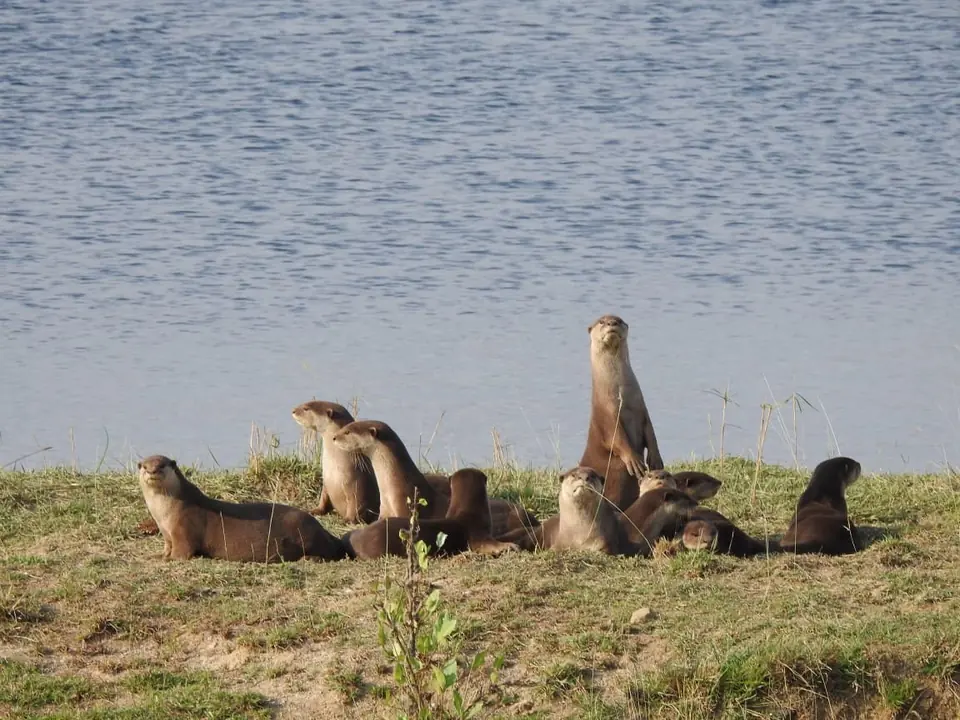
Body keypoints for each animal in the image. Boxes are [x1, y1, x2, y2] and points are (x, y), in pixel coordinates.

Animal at [137, 455, 346, 562]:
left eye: (162, 465)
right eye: (145, 466)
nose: (152, 471)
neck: (165, 514)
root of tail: (324, 530)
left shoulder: (185, 527)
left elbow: (183, 552)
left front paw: (166, 559)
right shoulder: (167, 533)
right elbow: (167, 547)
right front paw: (157, 554)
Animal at [579, 315, 664, 512]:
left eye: (618, 319)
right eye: (601, 321)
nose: (611, 323)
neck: (621, 393)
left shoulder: (641, 407)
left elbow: (651, 432)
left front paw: (655, 459)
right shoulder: (607, 413)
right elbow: (617, 437)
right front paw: (634, 461)